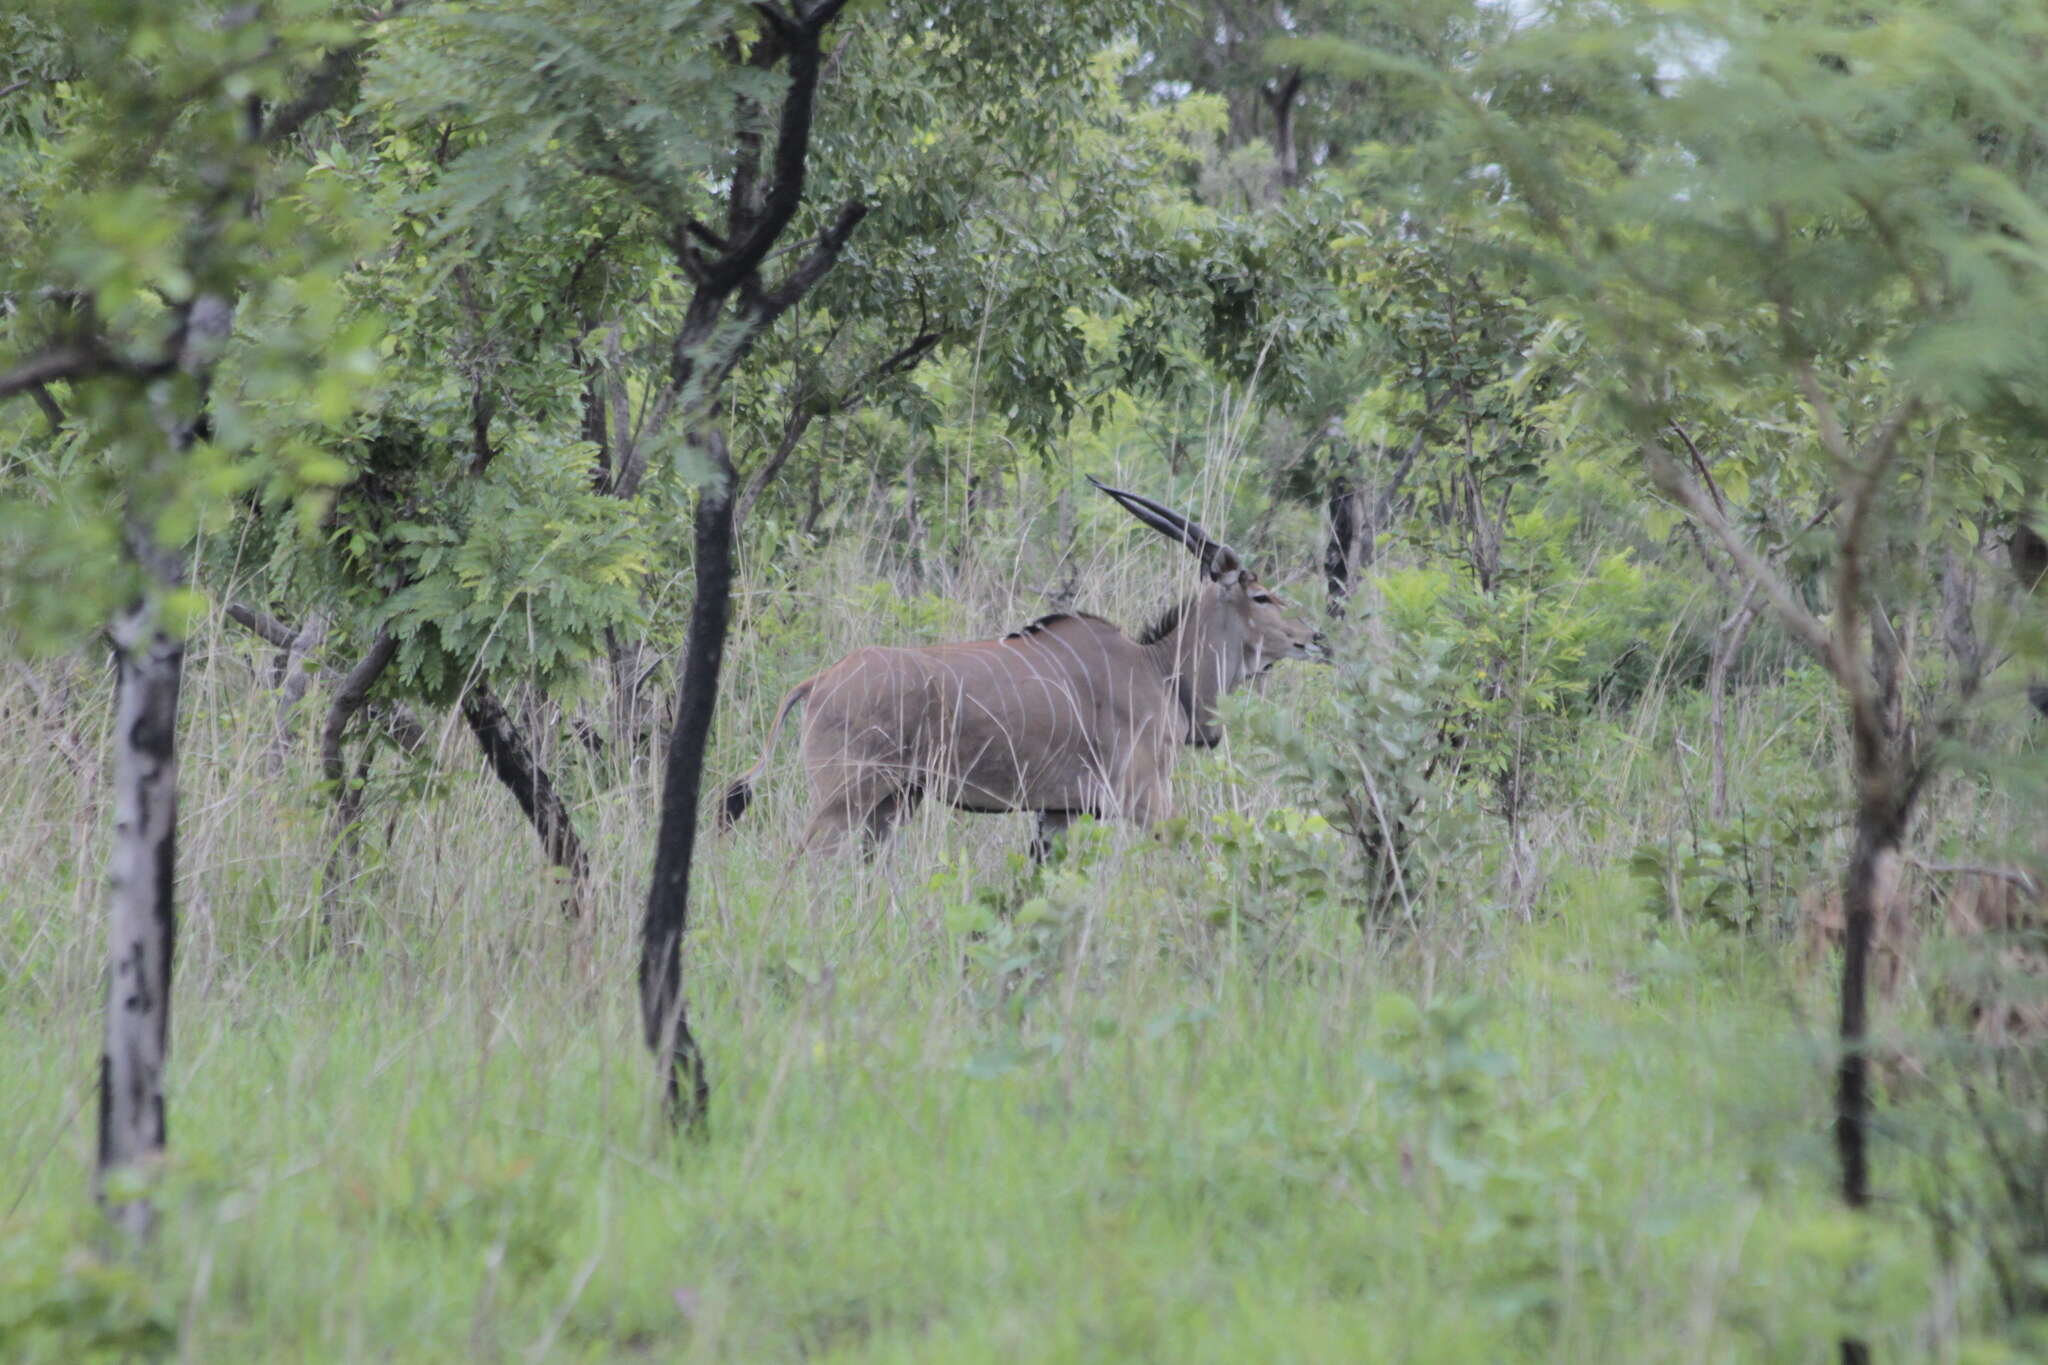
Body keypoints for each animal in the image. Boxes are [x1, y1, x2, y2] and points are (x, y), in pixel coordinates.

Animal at [720, 480, 1327, 855]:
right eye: (1263, 596)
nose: (1315, 638)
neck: (1158, 669)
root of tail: (821, 681)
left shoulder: (1059, 815)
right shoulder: (1143, 798)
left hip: (890, 805)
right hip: (846, 798)